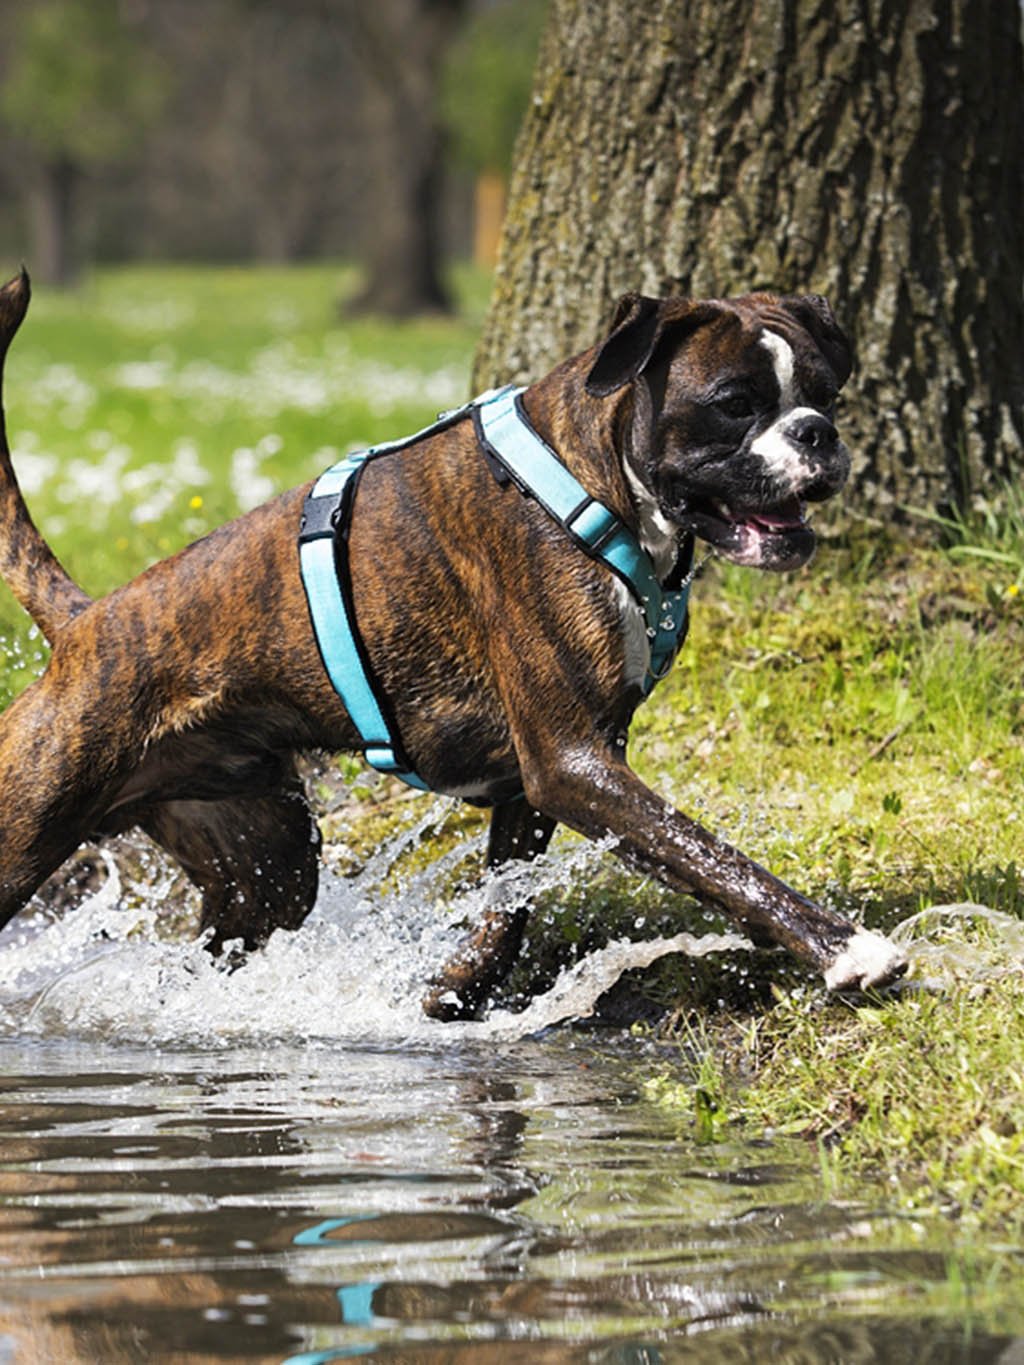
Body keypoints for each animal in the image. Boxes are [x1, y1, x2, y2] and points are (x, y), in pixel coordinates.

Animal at [0, 268, 912, 1015]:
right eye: (733, 404)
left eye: (825, 394)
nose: (818, 434)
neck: (592, 486)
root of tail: (85, 622)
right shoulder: (574, 763)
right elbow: (715, 858)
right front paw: (848, 950)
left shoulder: (547, 772)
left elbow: (509, 906)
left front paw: (456, 990)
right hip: (29, 829)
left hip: (269, 865)